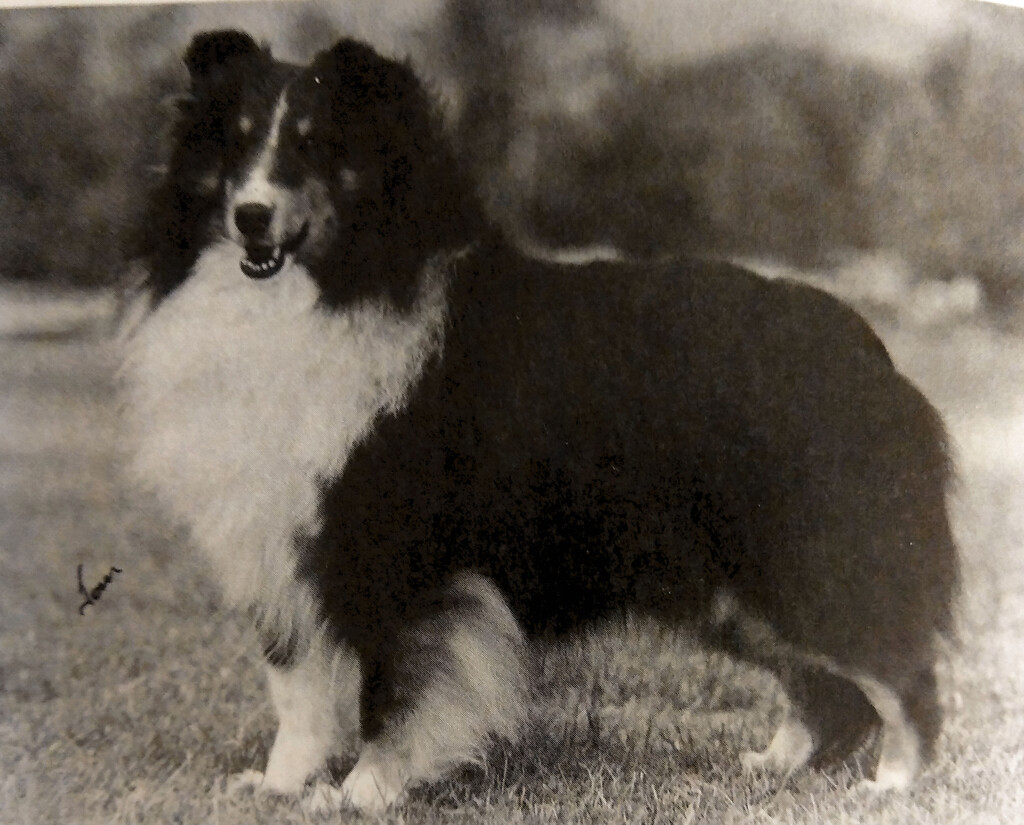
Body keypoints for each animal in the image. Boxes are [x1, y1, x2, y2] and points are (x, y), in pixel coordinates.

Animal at [120, 30, 960, 814]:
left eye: (314, 146)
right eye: (234, 142)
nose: (250, 217)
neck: (331, 292)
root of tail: (868, 348)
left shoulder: (399, 554)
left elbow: (392, 690)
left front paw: (364, 791)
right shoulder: (281, 548)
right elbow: (296, 692)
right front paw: (277, 786)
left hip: (808, 562)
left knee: (898, 673)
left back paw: (893, 782)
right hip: (741, 587)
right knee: (823, 684)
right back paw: (775, 764)